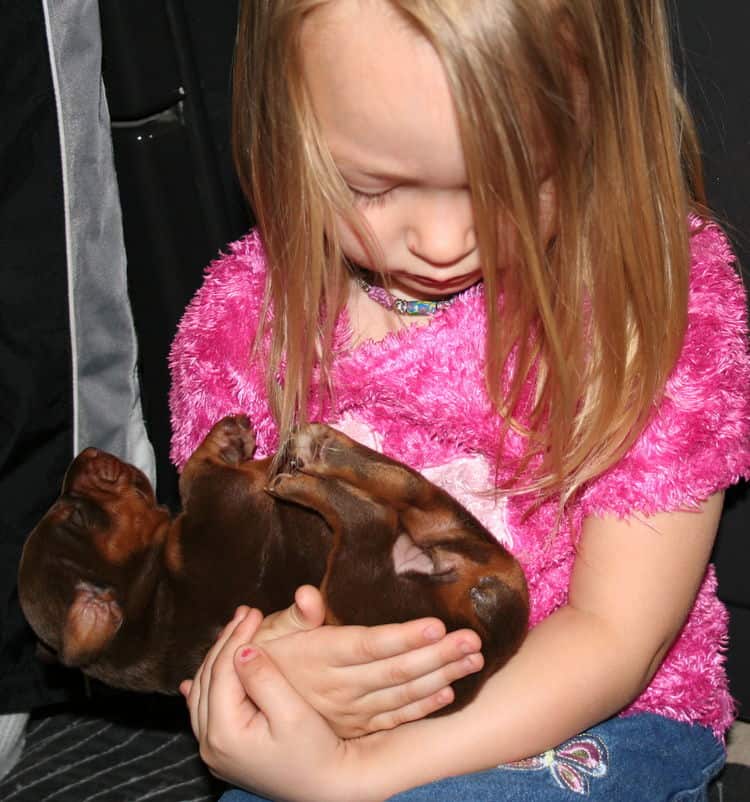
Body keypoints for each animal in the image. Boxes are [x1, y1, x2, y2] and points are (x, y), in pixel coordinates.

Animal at [17, 416, 528, 708]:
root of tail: (491, 625)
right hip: (355, 583)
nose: (84, 452)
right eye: (77, 515)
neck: (149, 584)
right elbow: (195, 473)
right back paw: (309, 465)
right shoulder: (218, 505)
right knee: (369, 515)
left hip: (442, 522)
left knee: (403, 489)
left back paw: (321, 450)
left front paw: (229, 436)